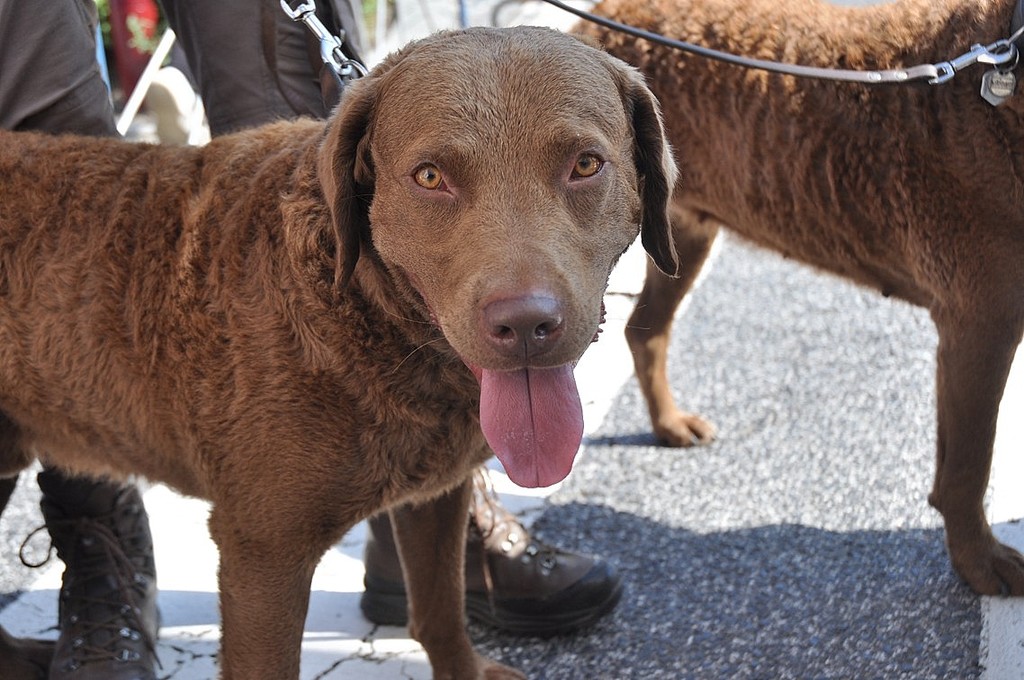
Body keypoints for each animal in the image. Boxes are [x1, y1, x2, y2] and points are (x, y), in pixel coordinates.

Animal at [0, 26, 678, 678]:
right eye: (430, 177)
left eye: (585, 164)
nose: (526, 324)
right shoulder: (262, 553)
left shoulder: (436, 493)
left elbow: (441, 609)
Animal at [576, 0, 1024, 596]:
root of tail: (598, 18)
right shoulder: (981, 322)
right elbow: (971, 464)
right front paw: (979, 563)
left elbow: (957, 460)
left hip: (684, 229)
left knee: (643, 329)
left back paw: (669, 424)